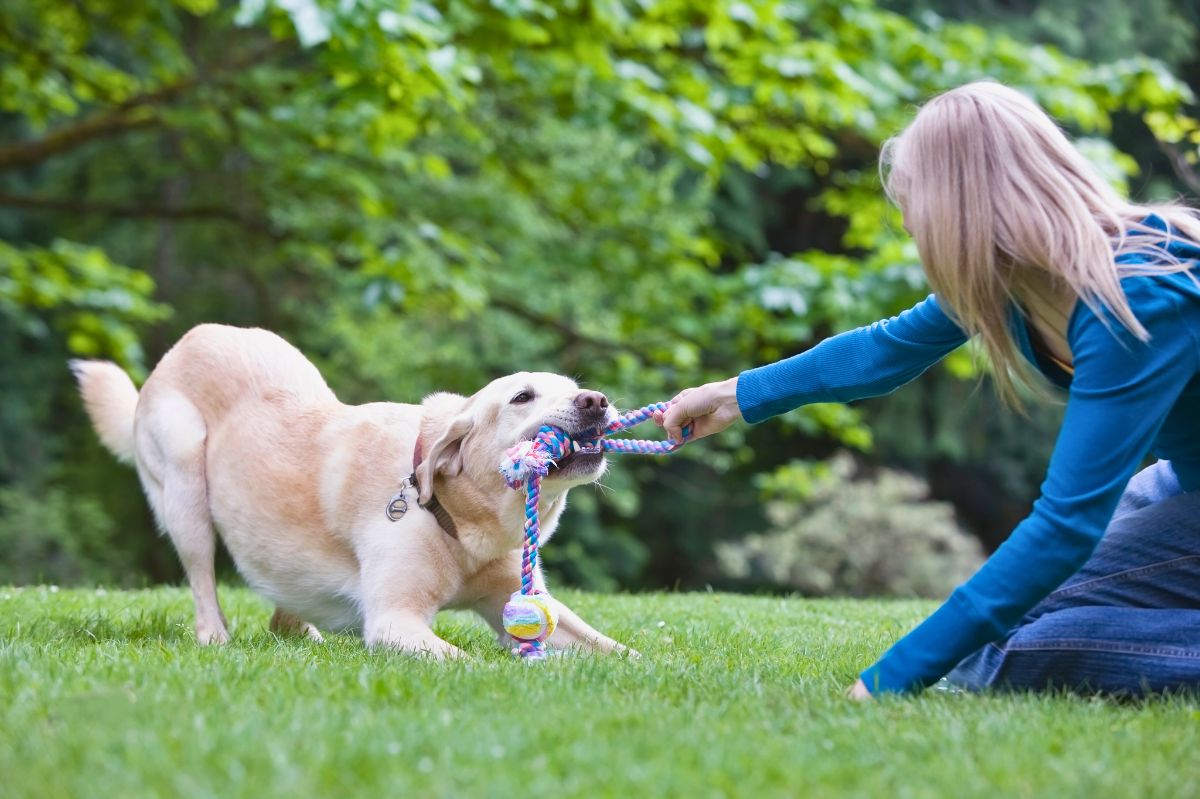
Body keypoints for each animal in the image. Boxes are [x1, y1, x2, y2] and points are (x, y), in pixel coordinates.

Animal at [71, 321, 633, 657]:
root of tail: (188, 340)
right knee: (203, 579)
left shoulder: (524, 602)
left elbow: (616, 649)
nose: (596, 401)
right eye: (522, 397)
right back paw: (216, 637)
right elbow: (467, 660)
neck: (457, 518)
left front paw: (647, 670)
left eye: (572, 387)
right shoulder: (393, 620)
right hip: (186, 487)